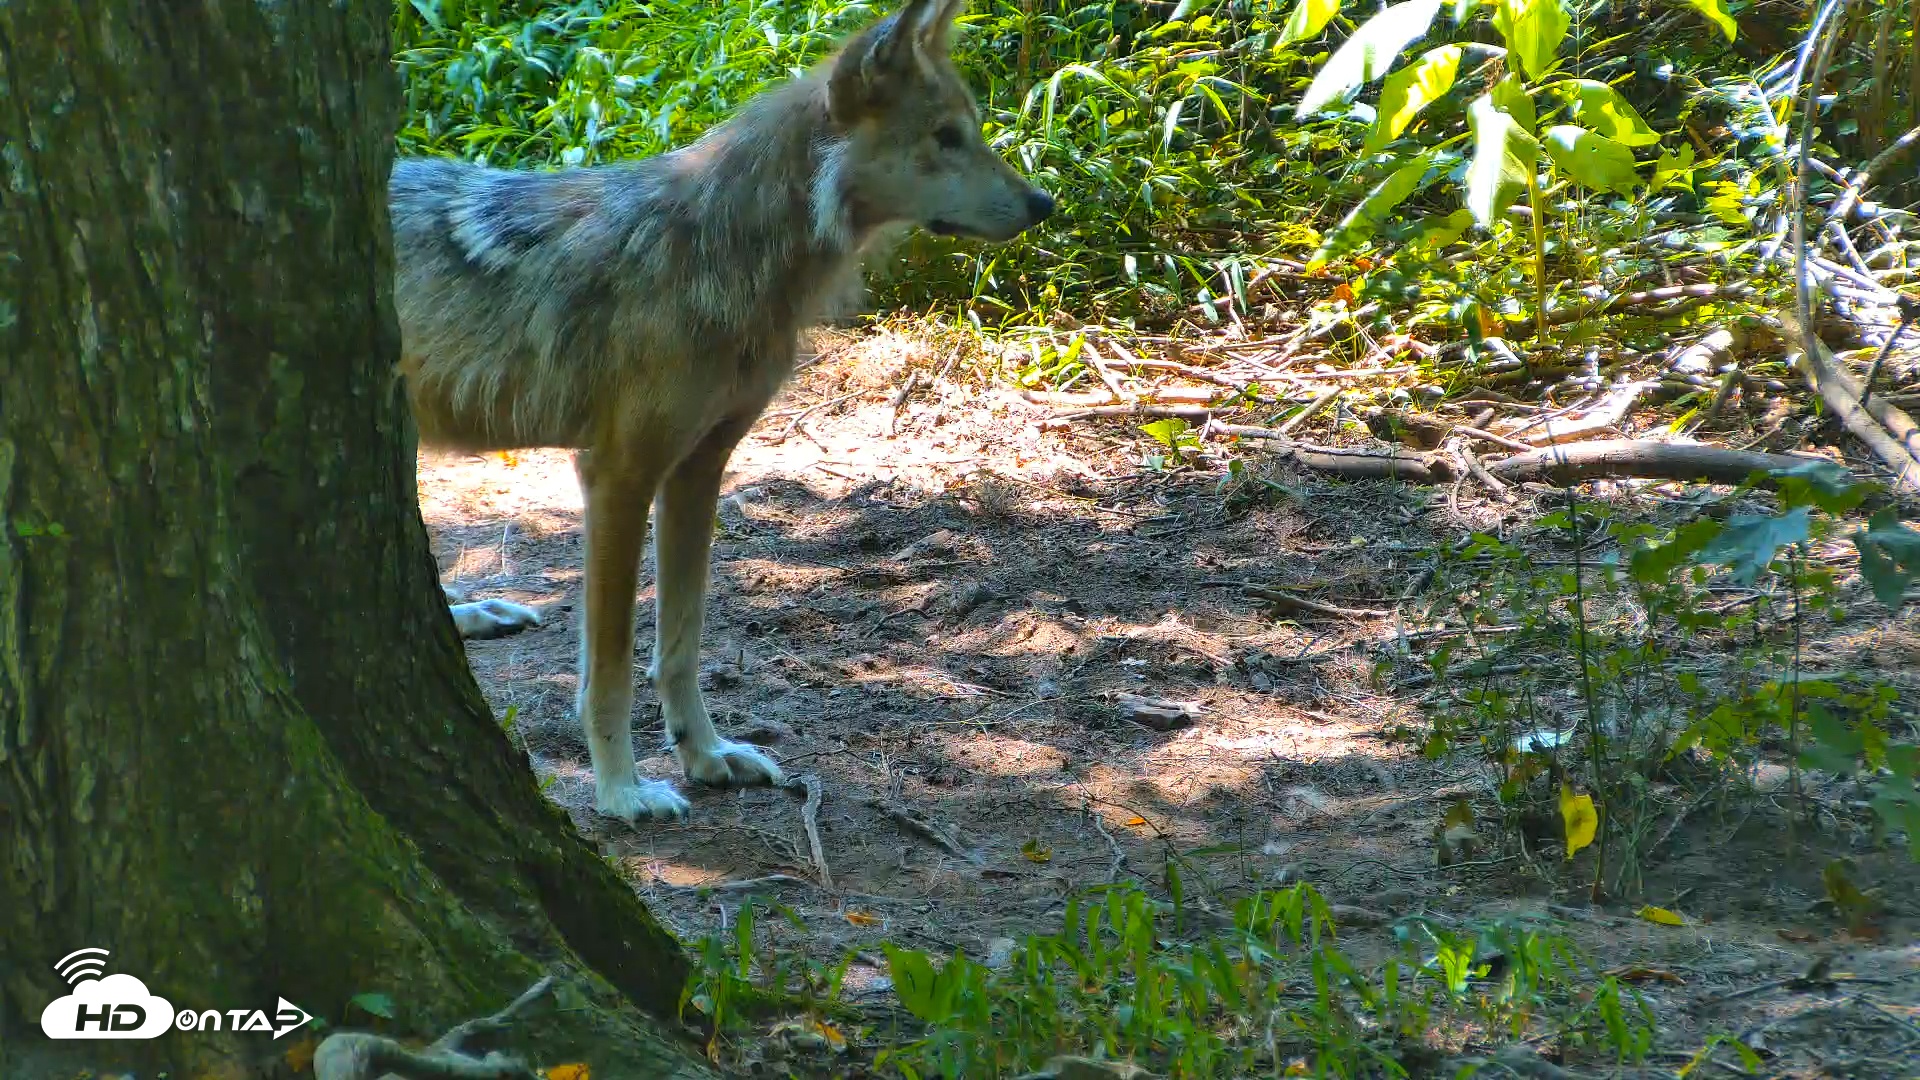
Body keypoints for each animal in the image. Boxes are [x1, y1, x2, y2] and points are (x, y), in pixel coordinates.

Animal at [392, 0, 1052, 823]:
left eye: (974, 128)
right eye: (945, 137)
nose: (1045, 203)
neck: (725, 249)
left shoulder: (699, 470)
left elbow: (681, 645)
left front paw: (706, 757)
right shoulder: (617, 475)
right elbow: (610, 668)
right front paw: (622, 792)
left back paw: (473, 614)